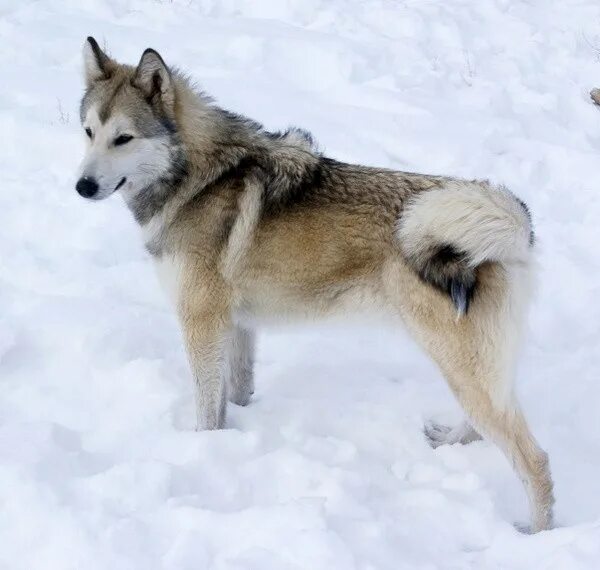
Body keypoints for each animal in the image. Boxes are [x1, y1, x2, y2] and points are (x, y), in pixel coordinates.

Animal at [77, 37, 556, 532]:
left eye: (123, 138)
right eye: (88, 131)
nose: (82, 186)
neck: (197, 179)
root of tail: (514, 226)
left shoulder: (201, 324)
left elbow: (208, 410)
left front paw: (203, 450)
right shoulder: (238, 326)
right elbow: (237, 391)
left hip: (461, 366)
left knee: (534, 460)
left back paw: (535, 532)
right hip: (471, 369)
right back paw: (450, 442)